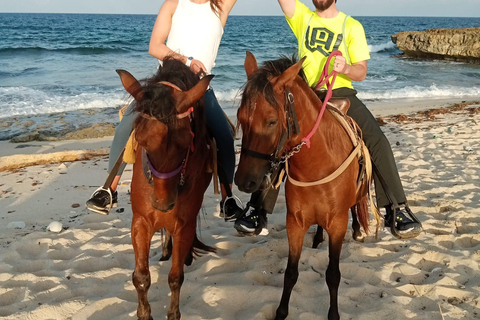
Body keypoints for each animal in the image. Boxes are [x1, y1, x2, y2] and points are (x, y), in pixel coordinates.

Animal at [116, 57, 214, 320]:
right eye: (141, 140)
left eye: (186, 142)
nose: (163, 203)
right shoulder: (140, 222)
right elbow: (141, 277)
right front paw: (144, 314)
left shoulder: (184, 225)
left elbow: (175, 278)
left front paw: (173, 314)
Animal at [235, 51, 378, 318]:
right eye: (240, 117)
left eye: (272, 121)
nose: (243, 181)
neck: (317, 164)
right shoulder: (295, 223)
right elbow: (290, 274)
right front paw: (281, 312)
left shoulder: (337, 224)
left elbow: (333, 274)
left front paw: (333, 314)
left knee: (356, 207)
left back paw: (358, 230)